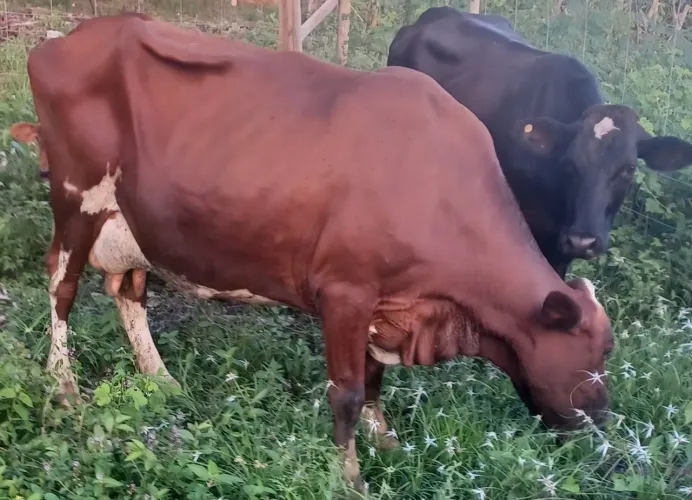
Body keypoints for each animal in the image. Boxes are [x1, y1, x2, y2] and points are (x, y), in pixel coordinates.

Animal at [25, 13, 613, 491]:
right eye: (599, 353)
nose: (605, 421)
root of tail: (66, 40)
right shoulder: (345, 292)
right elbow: (347, 392)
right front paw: (349, 476)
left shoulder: (387, 303)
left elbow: (375, 379)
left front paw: (386, 441)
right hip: (76, 196)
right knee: (61, 284)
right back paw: (64, 387)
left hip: (134, 222)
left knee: (128, 291)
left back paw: (160, 377)